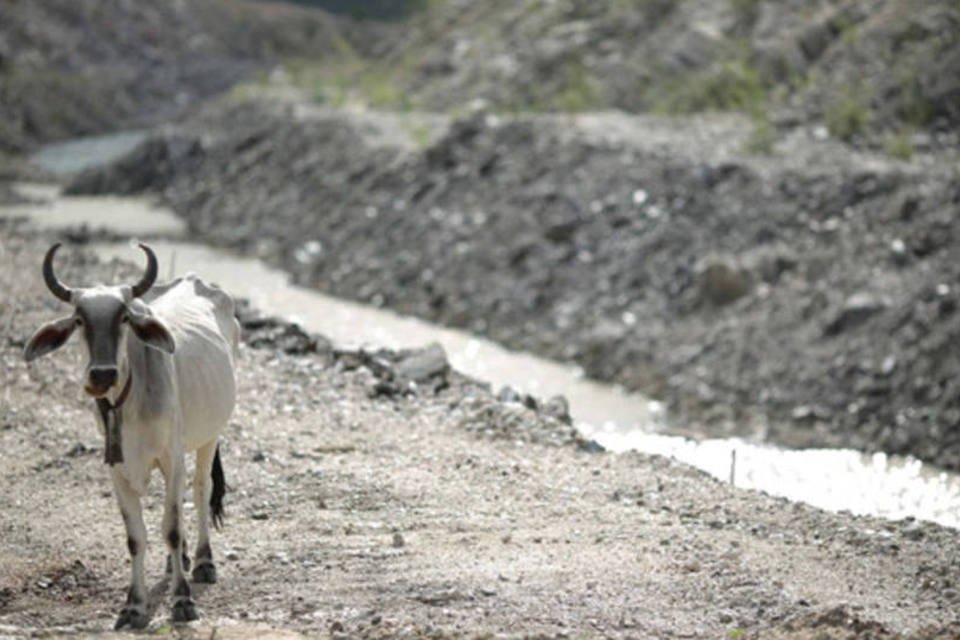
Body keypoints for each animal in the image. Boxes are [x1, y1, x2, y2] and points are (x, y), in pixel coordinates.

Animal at [23, 245, 240, 632]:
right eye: (79, 320)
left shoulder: (171, 458)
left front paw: (182, 601)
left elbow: (171, 527)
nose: (102, 374)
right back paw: (179, 561)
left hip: (209, 437)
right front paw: (133, 607)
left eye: (124, 318)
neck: (130, 401)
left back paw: (202, 562)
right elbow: (135, 537)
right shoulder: (118, 470)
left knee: (200, 492)